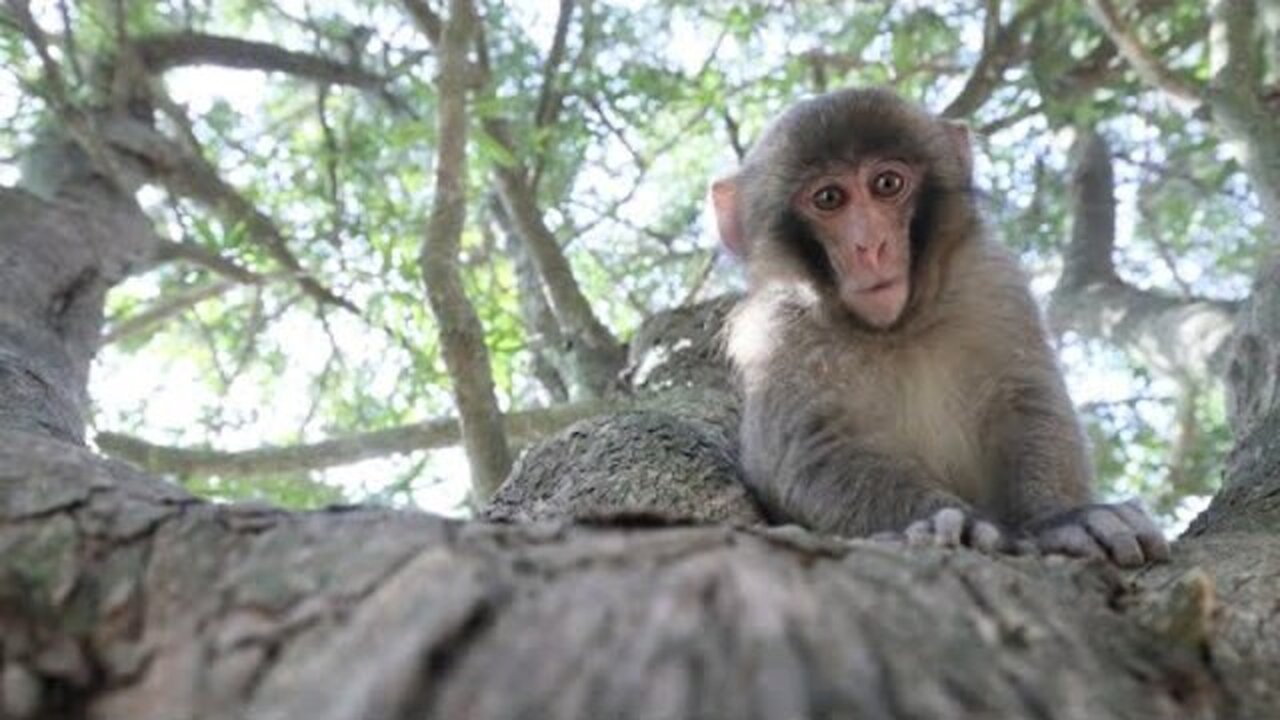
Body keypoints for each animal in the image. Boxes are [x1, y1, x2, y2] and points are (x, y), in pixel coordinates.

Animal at [711, 85, 1172, 566]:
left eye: (887, 184)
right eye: (829, 198)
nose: (870, 246)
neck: (897, 330)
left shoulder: (991, 279)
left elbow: (1028, 400)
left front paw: (1064, 519)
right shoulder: (775, 332)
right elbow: (808, 450)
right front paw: (951, 523)